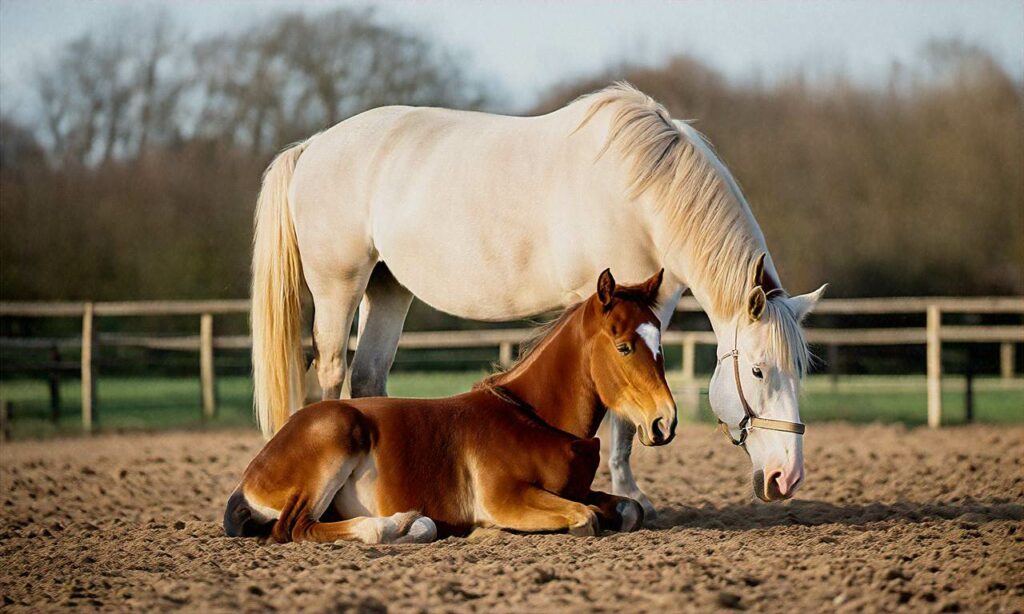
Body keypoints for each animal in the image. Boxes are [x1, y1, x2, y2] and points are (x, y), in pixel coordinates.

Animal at [222, 270, 679, 544]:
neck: (534, 419)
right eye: (623, 346)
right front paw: (488, 530)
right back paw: (386, 526)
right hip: (335, 441)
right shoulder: (508, 498)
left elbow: (631, 509)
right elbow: (587, 518)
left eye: (659, 338)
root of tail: (251, 475)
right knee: (295, 529)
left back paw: (411, 526)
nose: (664, 423)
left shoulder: (579, 490)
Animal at [251, 81, 827, 513]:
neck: (640, 191)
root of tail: (313, 146)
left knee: (369, 374)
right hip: (339, 286)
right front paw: (629, 493)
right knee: (331, 371)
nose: (788, 476)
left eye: (800, 369)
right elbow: (618, 410)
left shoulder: (651, 310)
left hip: (388, 287)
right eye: (757, 370)